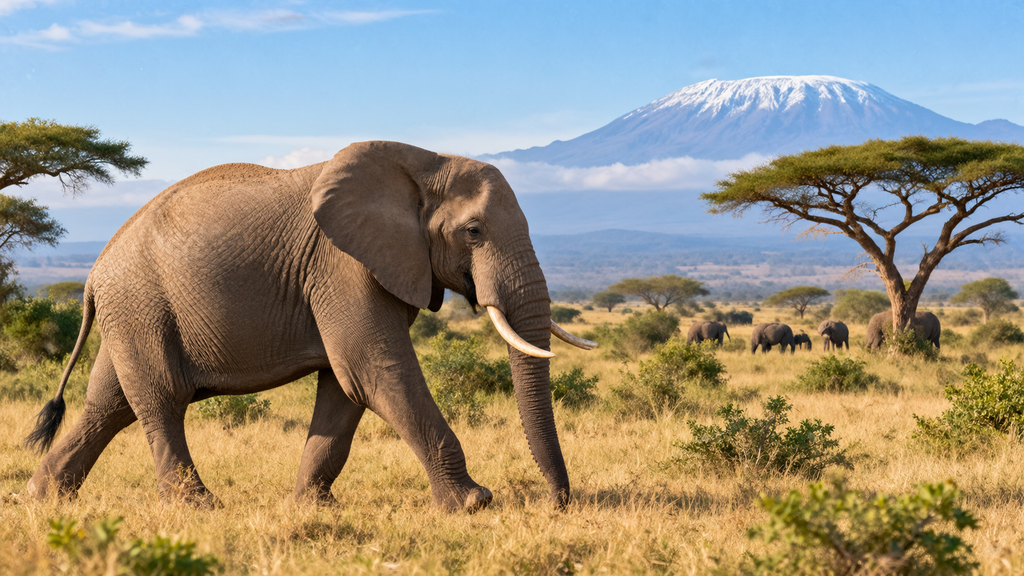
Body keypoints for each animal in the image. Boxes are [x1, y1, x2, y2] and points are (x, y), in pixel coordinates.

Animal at [25, 141, 597, 512]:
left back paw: (44, 497)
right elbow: (375, 372)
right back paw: (198, 508)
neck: (423, 161)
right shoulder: (342, 264)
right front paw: (473, 505)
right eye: (474, 231)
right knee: (161, 399)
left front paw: (313, 508)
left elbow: (346, 387)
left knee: (110, 403)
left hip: (132, 313)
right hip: (141, 305)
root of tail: (93, 274)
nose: (556, 505)